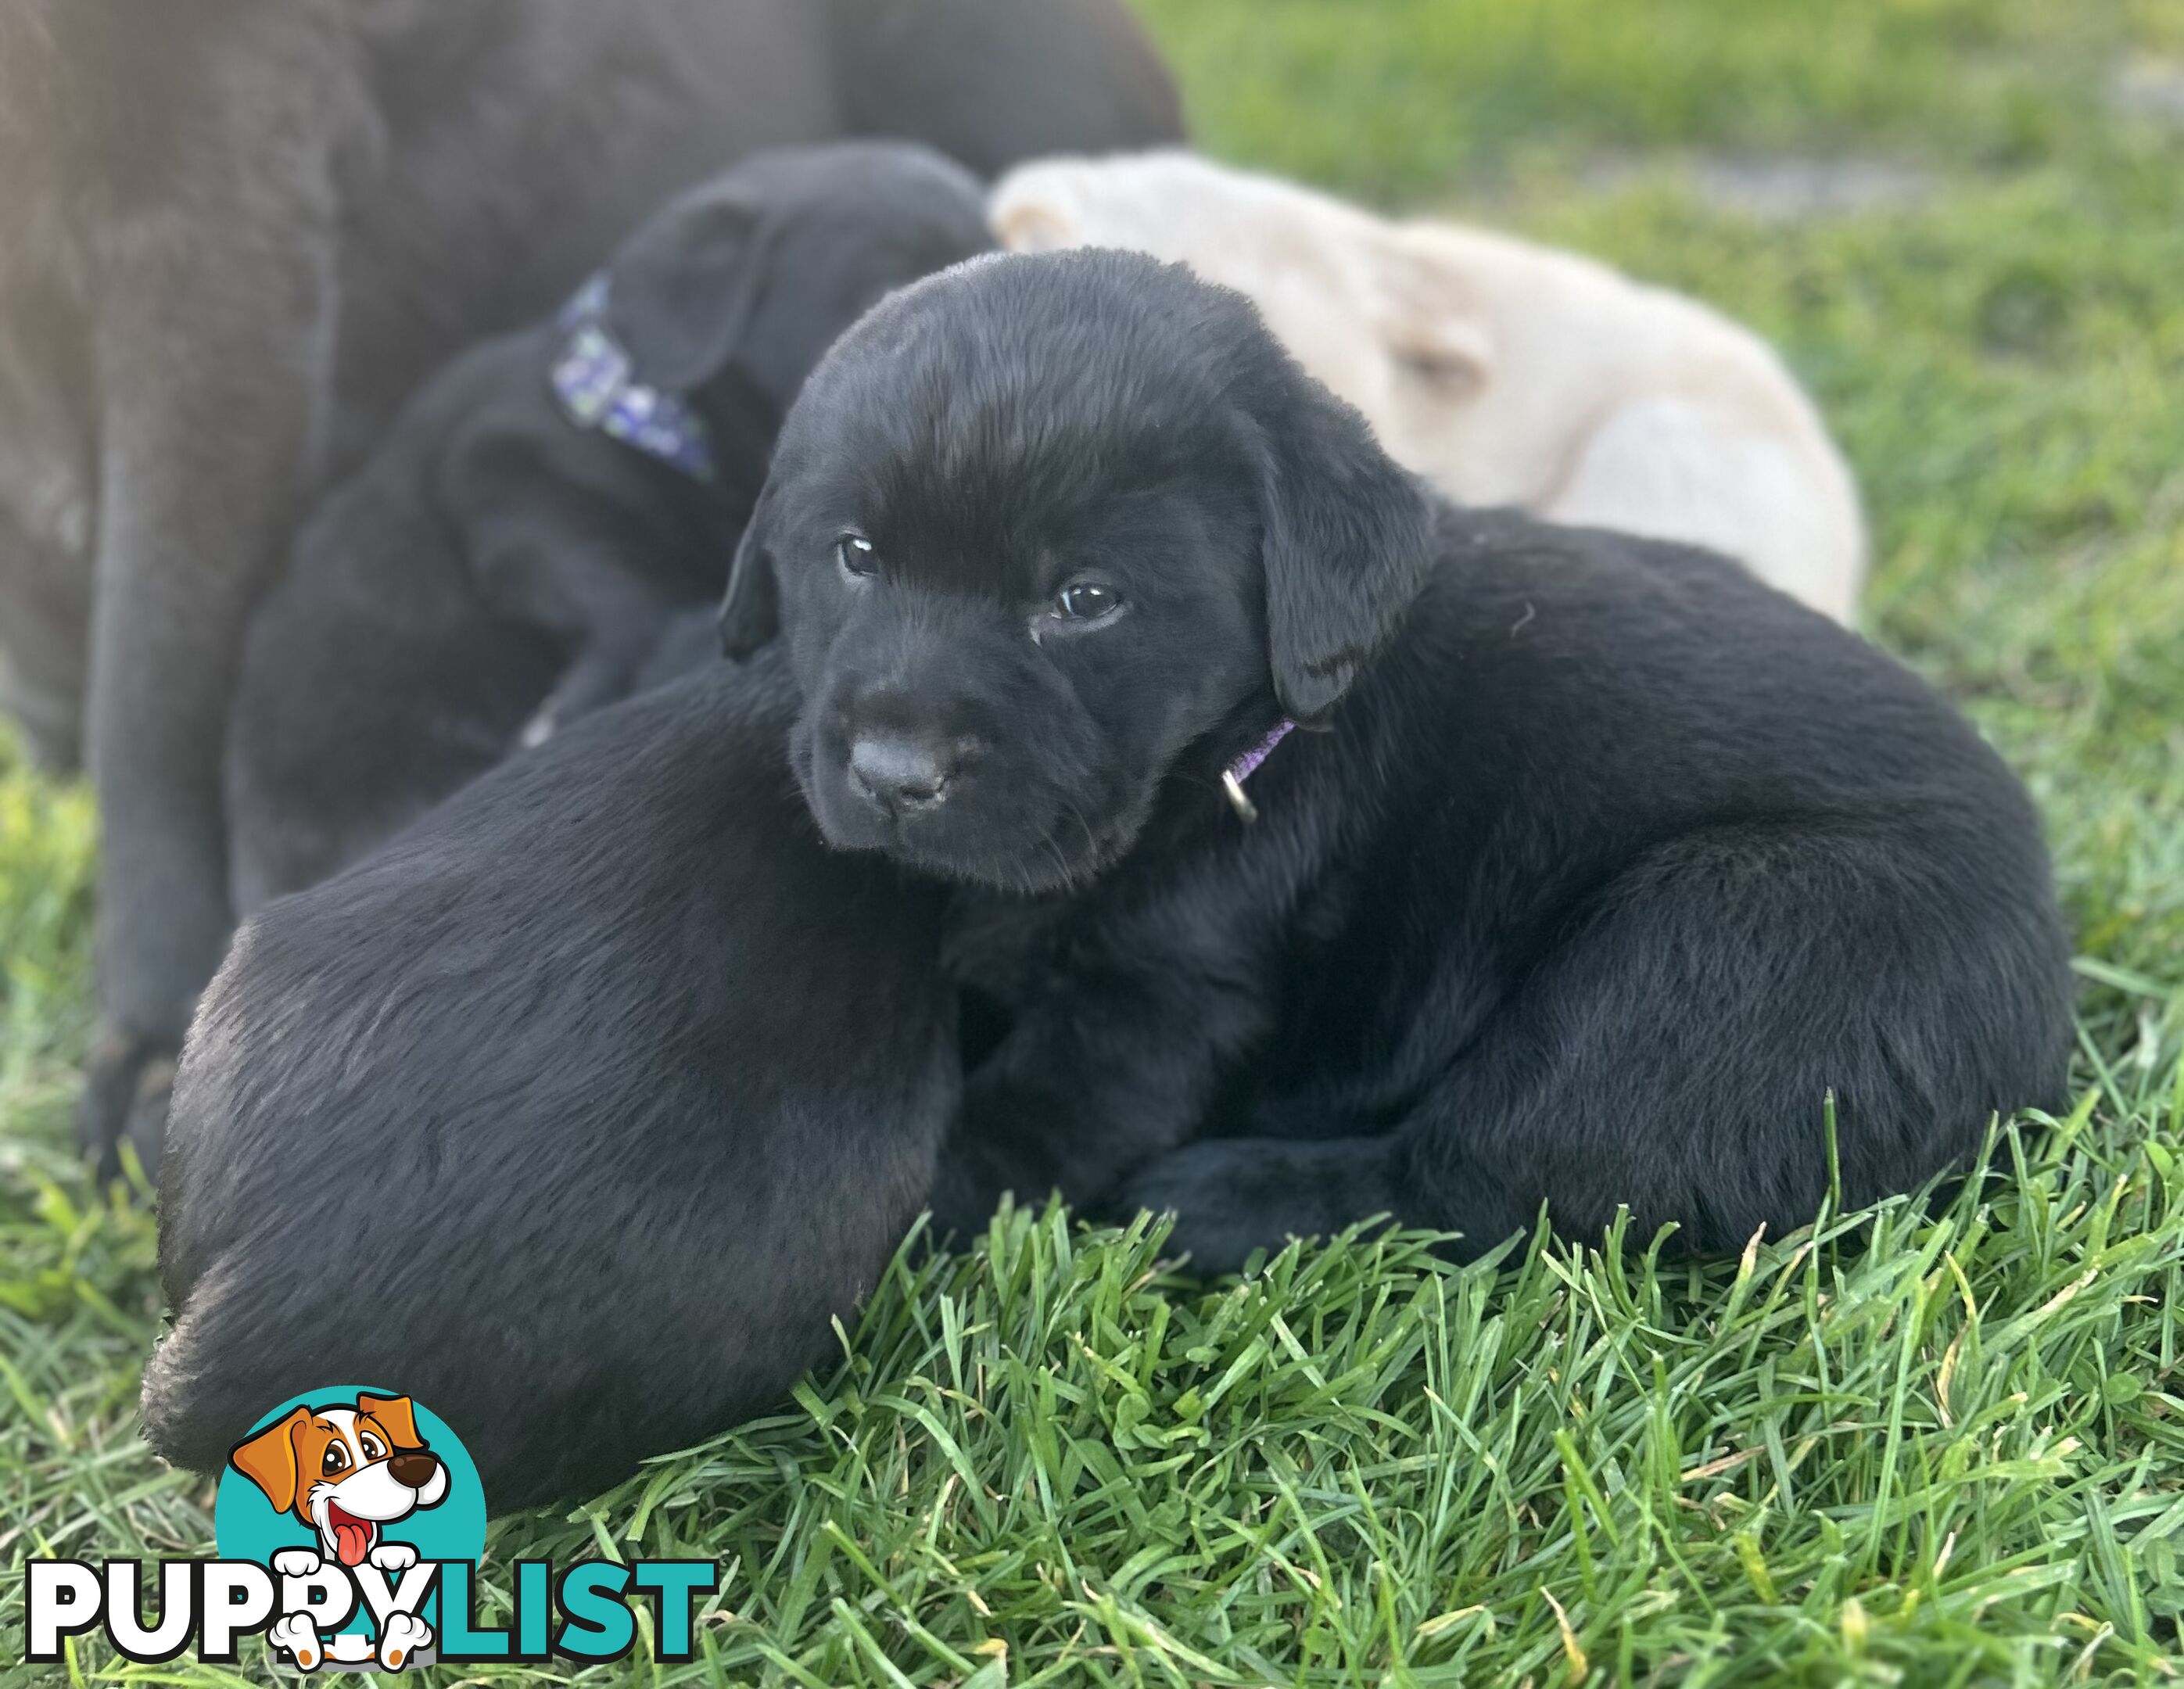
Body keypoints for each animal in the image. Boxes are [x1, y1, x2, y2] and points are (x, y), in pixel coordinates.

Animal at [725, 249, 2070, 1275]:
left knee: (1485, 1176)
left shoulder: (1161, 1005)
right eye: (853, 556)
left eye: (1086, 600)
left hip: (1723, 947)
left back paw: (1217, 1201)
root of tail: (2046, 1006)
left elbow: (1014, 1127)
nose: (893, 772)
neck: (1235, 753)